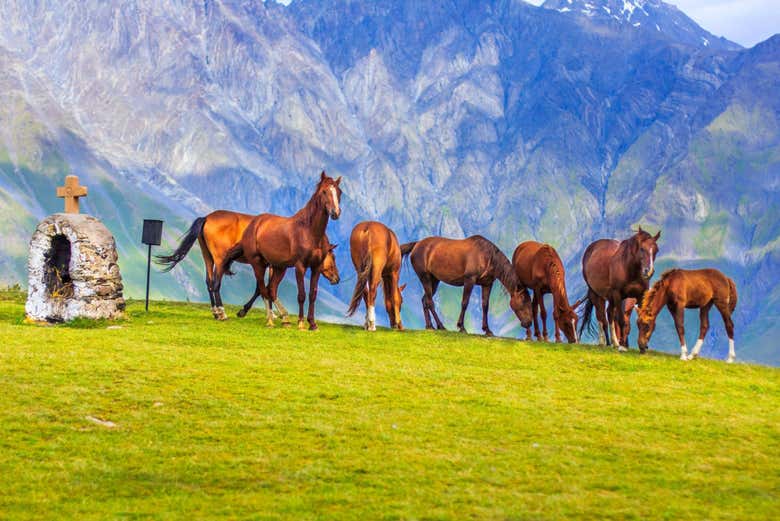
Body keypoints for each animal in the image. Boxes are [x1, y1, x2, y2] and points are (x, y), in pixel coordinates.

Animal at [156, 210, 284, 320]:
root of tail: (207, 218)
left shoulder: (269, 265)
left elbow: (266, 287)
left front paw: (271, 313)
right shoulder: (269, 264)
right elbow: (264, 288)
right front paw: (245, 311)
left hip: (208, 257)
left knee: (209, 282)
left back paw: (215, 312)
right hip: (220, 260)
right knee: (216, 284)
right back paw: (222, 313)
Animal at [223, 171, 342, 330]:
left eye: (339, 192)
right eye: (324, 191)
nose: (335, 213)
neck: (310, 232)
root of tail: (253, 225)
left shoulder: (316, 267)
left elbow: (312, 294)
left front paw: (312, 323)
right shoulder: (300, 267)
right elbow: (301, 295)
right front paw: (301, 323)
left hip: (279, 267)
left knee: (271, 289)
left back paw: (285, 319)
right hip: (258, 264)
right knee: (264, 289)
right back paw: (270, 320)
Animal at [400, 236, 533, 336]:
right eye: (524, 302)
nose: (528, 323)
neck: (486, 256)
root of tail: (417, 244)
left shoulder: (487, 284)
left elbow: (485, 306)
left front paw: (487, 330)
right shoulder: (469, 280)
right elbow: (465, 303)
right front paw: (462, 327)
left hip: (434, 280)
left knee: (425, 300)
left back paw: (430, 326)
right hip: (425, 278)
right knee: (429, 302)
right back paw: (441, 326)